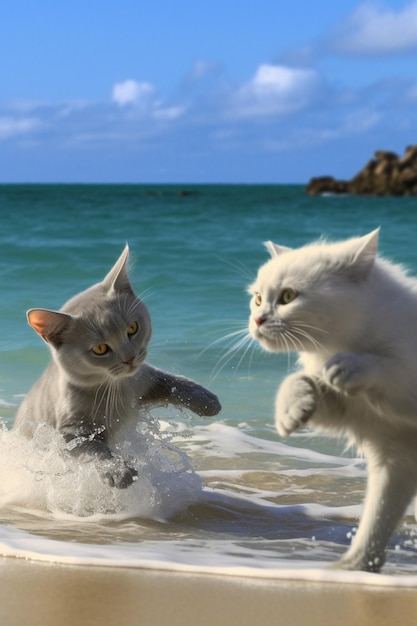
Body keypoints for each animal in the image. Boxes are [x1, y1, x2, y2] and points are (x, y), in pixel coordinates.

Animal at [14, 244, 219, 488]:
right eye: (100, 349)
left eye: (132, 328)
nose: (129, 358)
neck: (116, 387)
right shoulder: (71, 433)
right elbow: (96, 450)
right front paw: (117, 470)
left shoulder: (143, 380)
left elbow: (171, 382)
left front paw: (205, 399)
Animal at [247, 229, 416, 572]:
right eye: (257, 298)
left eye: (288, 297)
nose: (257, 319)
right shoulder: (392, 451)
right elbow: (376, 520)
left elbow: (389, 368)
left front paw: (348, 367)